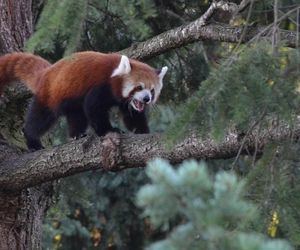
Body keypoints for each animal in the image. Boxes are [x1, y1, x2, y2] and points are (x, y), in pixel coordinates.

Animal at [0, 51, 168, 150]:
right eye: (139, 87)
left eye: (152, 91)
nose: (146, 99)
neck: (114, 78)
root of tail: (47, 72)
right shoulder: (101, 86)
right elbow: (94, 108)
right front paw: (108, 130)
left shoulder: (127, 103)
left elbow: (132, 115)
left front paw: (142, 132)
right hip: (49, 95)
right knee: (40, 118)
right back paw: (32, 140)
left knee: (77, 116)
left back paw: (77, 135)